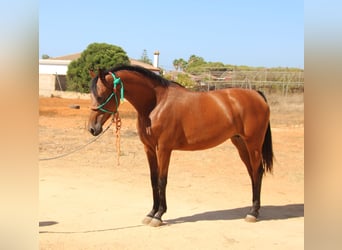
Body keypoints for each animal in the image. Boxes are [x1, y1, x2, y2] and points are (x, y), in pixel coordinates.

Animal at [87, 64, 274, 227]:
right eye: (91, 96)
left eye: (102, 96)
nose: (92, 128)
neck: (156, 104)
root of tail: (257, 95)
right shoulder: (149, 149)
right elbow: (153, 179)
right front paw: (151, 213)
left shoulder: (164, 149)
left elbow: (162, 180)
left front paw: (159, 215)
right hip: (240, 144)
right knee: (252, 173)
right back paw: (253, 209)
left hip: (253, 144)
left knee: (257, 172)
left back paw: (253, 213)